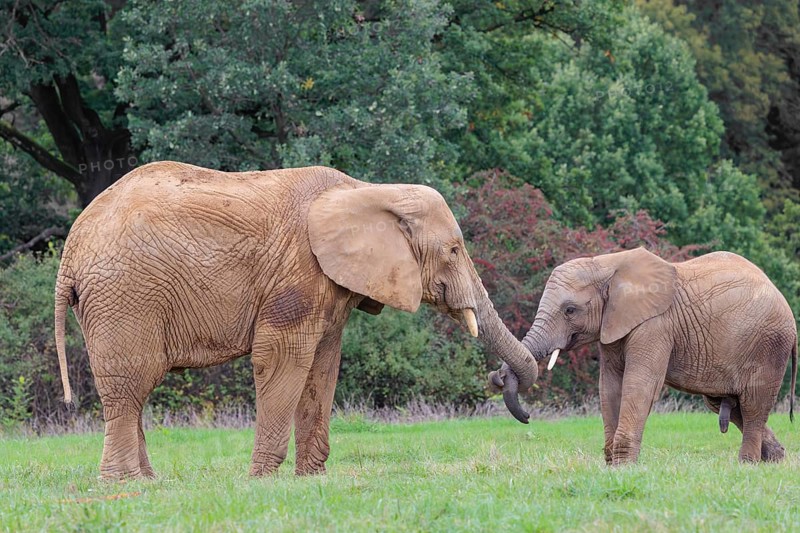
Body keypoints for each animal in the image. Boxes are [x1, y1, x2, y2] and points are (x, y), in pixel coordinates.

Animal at [54, 161, 538, 479]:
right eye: (453, 250)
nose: (500, 381)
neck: (368, 190)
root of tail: (71, 249)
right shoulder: (299, 273)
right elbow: (281, 357)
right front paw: (262, 479)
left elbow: (324, 365)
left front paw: (312, 478)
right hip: (125, 296)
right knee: (129, 385)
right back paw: (124, 483)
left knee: (131, 391)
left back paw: (149, 482)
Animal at [490, 247, 796, 465]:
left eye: (569, 310)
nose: (528, 416)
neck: (607, 265)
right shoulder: (613, 324)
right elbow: (609, 386)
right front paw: (612, 465)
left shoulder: (656, 324)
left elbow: (639, 383)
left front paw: (624, 466)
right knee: (727, 405)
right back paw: (775, 459)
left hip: (769, 344)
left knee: (753, 404)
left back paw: (747, 464)